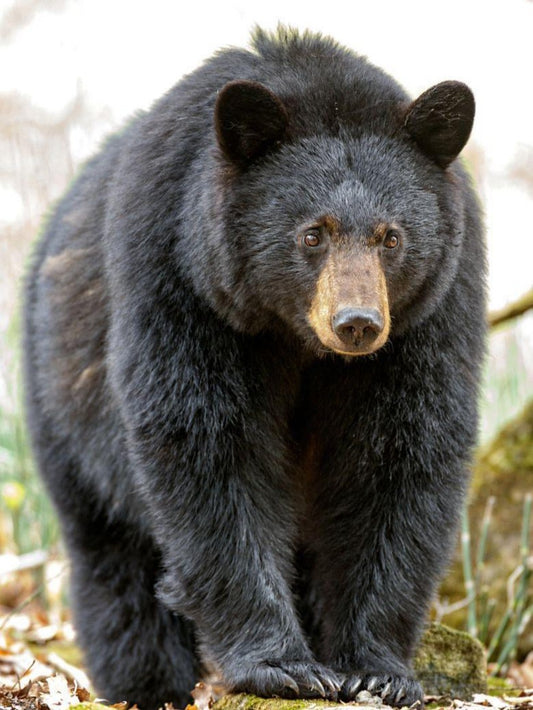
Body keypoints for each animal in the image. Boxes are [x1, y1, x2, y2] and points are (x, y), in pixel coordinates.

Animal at [23, 26, 486, 710]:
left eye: (391, 236)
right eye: (312, 234)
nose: (357, 323)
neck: (294, 334)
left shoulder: (429, 315)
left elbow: (398, 456)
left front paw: (376, 667)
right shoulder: (182, 279)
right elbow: (213, 450)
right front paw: (282, 665)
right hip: (65, 415)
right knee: (115, 565)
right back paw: (149, 681)